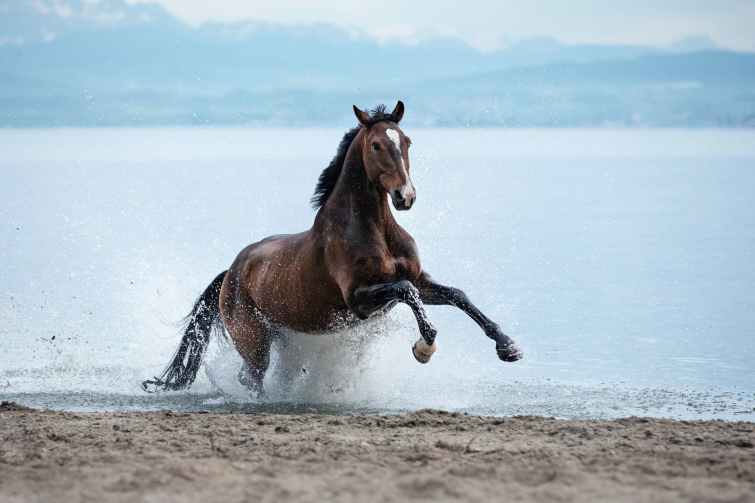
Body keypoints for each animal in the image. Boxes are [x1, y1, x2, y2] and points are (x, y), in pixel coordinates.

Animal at [142, 101, 522, 396]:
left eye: (407, 141)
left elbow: (456, 295)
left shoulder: (421, 280)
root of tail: (232, 271)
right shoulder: (358, 300)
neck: (374, 230)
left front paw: (508, 347)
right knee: (250, 377)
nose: (406, 197)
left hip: (282, 336)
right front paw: (424, 347)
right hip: (253, 338)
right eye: (376, 145)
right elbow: (406, 290)